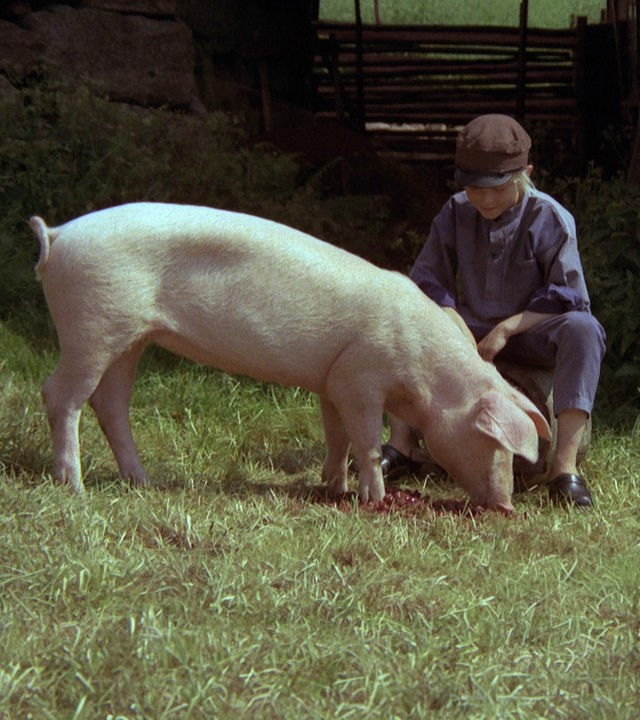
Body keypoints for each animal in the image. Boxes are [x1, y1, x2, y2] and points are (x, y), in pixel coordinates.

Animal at [31, 202, 551, 510]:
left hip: (130, 339)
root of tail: (57, 236)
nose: (506, 507)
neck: (426, 373)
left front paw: (334, 489)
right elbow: (366, 441)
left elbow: (337, 439)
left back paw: (143, 482)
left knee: (110, 404)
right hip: (91, 324)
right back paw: (73, 486)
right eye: (496, 444)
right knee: (60, 396)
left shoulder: (333, 382)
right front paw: (374, 501)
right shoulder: (361, 380)